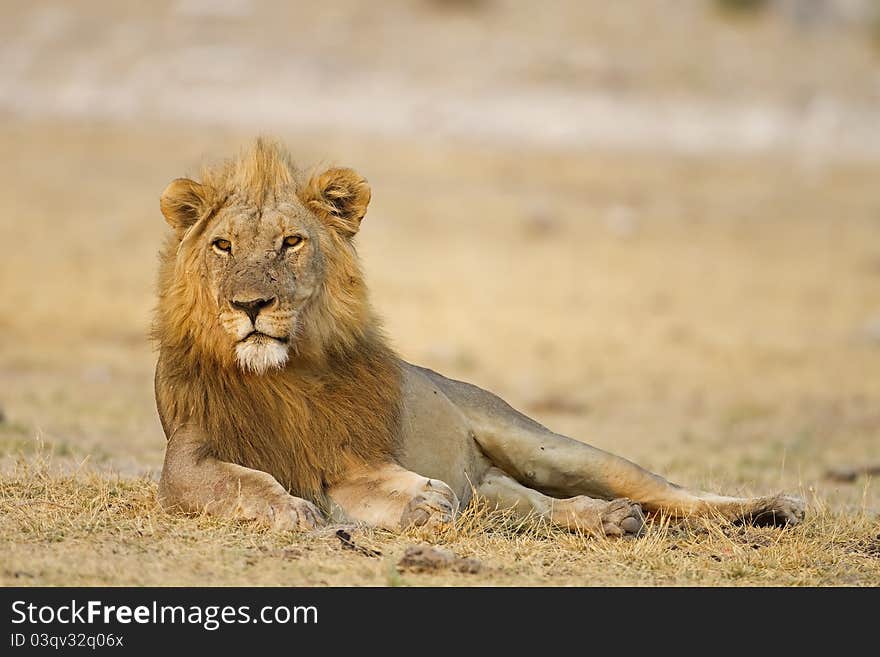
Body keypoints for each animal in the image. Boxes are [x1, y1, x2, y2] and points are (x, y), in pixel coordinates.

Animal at [156, 141, 804, 536]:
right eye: (223, 246)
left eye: (291, 242)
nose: (250, 305)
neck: (282, 372)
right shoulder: (187, 454)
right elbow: (236, 481)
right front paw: (291, 509)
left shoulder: (348, 452)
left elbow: (367, 483)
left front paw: (419, 499)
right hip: (496, 487)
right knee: (542, 506)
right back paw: (607, 520)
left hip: (549, 446)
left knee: (674, 493)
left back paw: (775, 506)